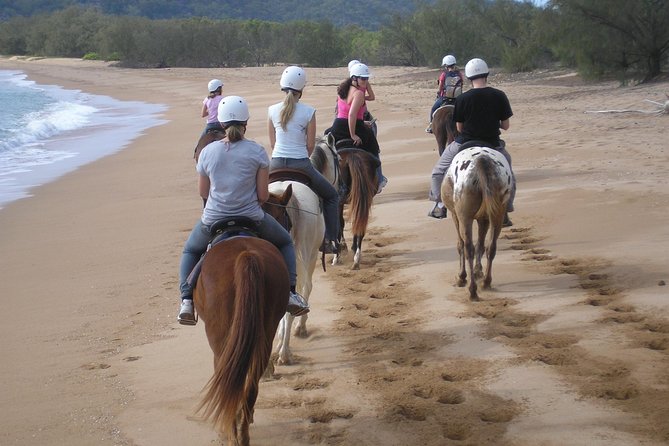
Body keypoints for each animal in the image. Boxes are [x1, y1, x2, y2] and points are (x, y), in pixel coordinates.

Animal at [192, 235, 288, 444]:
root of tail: (246, 255)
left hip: (220, 339)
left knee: (227, 379)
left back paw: (230, 432)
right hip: (267, 328)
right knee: (251, 382)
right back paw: (243, 432)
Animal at [438, 146, 512, 300]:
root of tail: (481, 160)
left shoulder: (455, 215)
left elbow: (461, 245)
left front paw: (462, 276)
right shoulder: (484, 219)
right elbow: (481, 245)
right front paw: (478, 272)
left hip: (464, 216)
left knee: (468, 248)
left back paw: (472, 289)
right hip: (498, 213)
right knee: (491, 246)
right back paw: (486, 282)